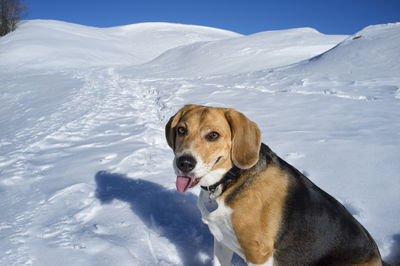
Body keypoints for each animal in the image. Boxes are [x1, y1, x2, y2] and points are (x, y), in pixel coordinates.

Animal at [165, 104, 388, 266]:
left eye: (213, 135)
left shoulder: (258, 254)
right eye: (181, 130)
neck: (229, 180)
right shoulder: (221, 241)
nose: (184, 163)